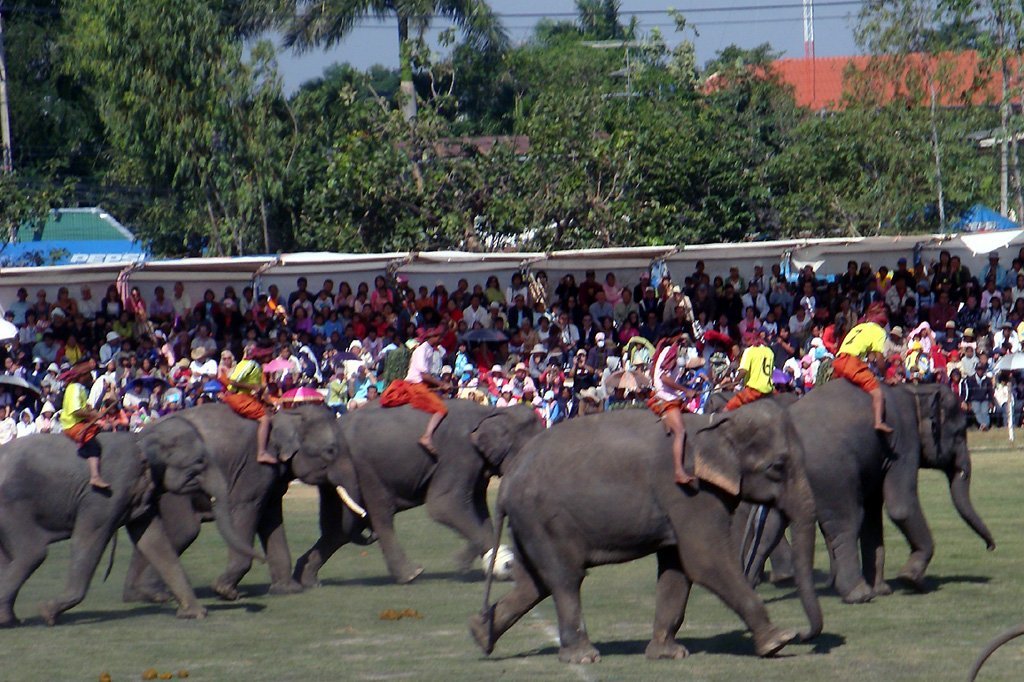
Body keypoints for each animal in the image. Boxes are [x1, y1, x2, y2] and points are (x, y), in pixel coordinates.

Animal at [0, 422, 257, 626]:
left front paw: (194, 613)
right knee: (33, 553)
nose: (238, 598)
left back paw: (9, 620)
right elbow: (89, 539)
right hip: (11, 505)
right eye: (200, 462)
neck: (141, 437)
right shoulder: (108, 491)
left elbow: (154, 542)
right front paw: (48, 613)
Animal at [292, 401, 543, 587]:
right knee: (379, 515)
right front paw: (486, 564)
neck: (492, 412)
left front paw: (488, 563)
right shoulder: (460, 453)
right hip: (365, 470)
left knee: (339, 529)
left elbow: (479, 510)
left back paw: (307, 579)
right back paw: (411, 574)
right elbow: (443, 505)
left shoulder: (477, 467)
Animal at [469, 401, 822, 664]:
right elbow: (705, 561)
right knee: (565, 578)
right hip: (543, 519)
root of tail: (508, 480)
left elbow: (677, 568)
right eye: (777, 466)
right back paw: (582, 657)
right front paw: (778, 641)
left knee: (537, 582)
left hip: (529, 524)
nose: (804, 634)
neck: (714, 423)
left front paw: (668, 653)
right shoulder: (688, 492)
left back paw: (480, 634)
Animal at [740, 380, 996, 603]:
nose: (990, 547)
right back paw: (859, 595)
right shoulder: (904, 444)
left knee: (770, 528)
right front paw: (911, 580)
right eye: (960, 433)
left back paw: (752, 589)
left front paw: (884, 589)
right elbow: (900, 506)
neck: (916, 389)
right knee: (847, 522)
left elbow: (874, 513)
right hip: (831, 474)